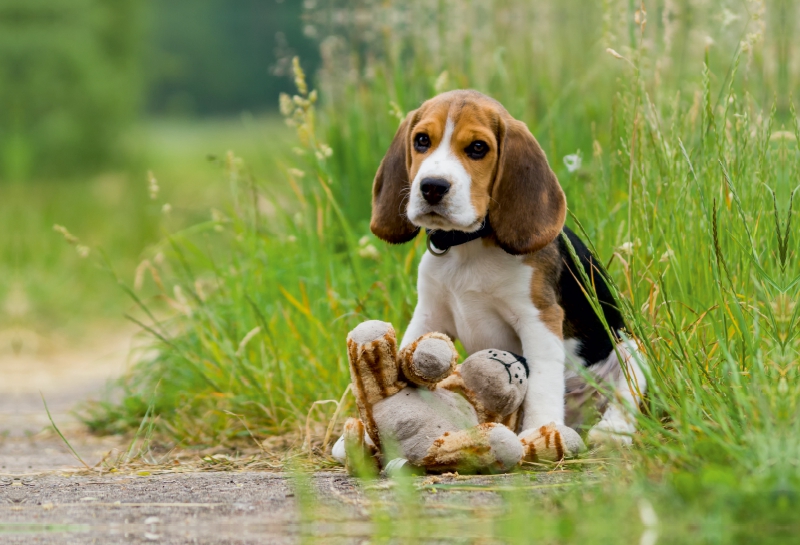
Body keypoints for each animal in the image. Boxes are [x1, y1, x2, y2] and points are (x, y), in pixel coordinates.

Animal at [372, 90, 648, 446]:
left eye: (478, 147)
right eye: (421, 141)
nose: (432, 186)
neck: (469, 246)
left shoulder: (539, 318)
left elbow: (542, 383)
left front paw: (540, 431)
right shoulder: (429, 315)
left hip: (633, 350)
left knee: (626, 395)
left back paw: (610, 431)